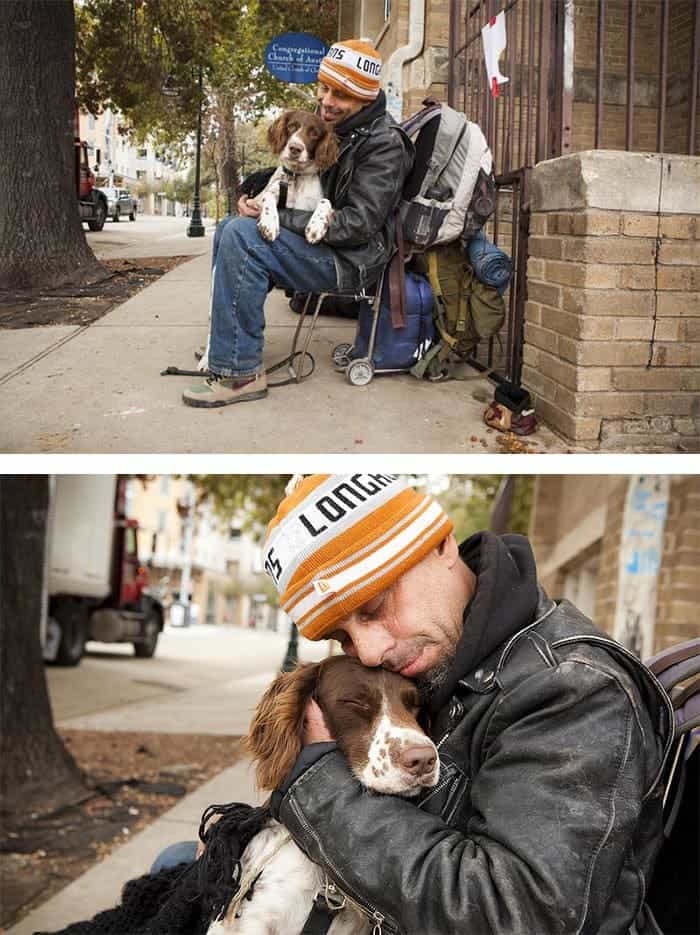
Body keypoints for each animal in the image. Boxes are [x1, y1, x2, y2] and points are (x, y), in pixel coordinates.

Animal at [254, 109, 340, 245]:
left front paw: (316, 226)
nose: (295, 148)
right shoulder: (263, 196)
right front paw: (269, 223)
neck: (296, 176)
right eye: (291, 126)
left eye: (314, 133)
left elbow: (325, 201)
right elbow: (267, 195)